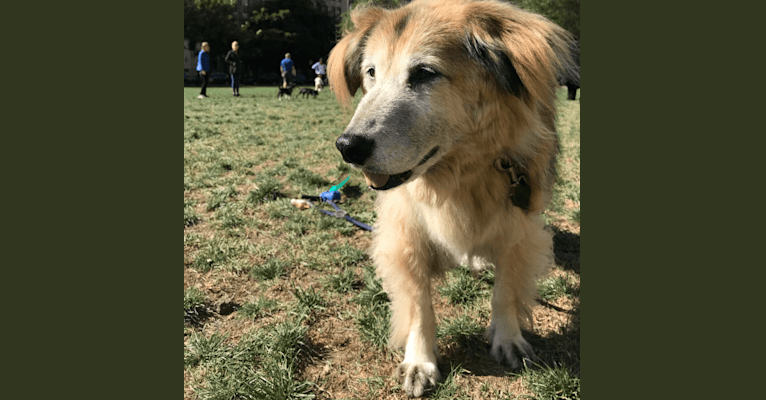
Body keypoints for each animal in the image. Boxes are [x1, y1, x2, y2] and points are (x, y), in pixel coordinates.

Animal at [328, 0, 576, 396]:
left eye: (425, 73)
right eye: (371, 73)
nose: (348, 146)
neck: (457, 176)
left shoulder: (519, 229)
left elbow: (506, 290)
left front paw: (508, 339)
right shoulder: (405, 234)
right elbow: (418, 306)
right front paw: (420, 361)